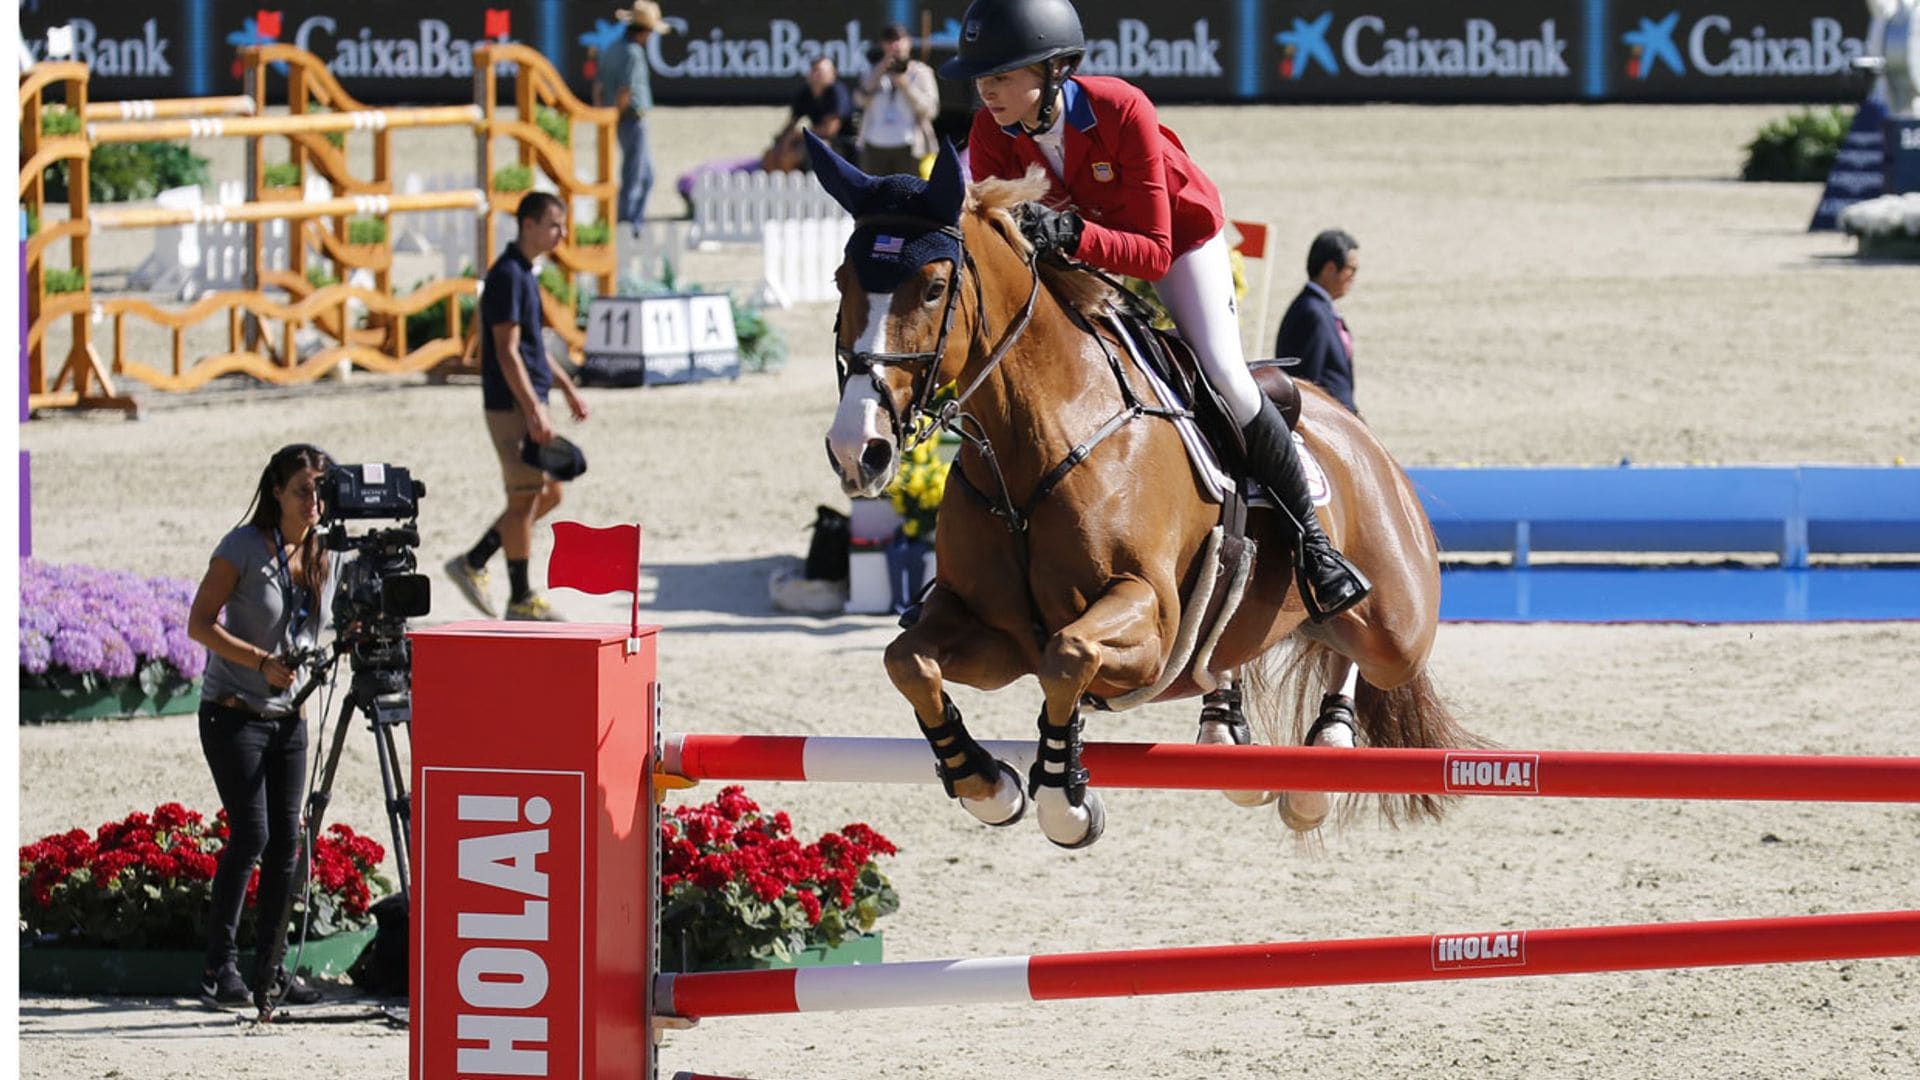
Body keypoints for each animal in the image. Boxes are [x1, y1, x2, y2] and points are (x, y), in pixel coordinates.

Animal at [806, 132, 1466, 841]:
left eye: (932, 289)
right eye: (841, 281)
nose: (859, 450)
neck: (1037, 443)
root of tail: (1357, 432)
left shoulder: (1148, 622)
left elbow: (1067, 654)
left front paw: (1062, 799)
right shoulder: (995, 637)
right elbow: (907, 660)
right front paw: (986, 782)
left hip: (1395, 625)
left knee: (1353, 648)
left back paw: (1322, 761)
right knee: (1271, 643)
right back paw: (1228, 733)